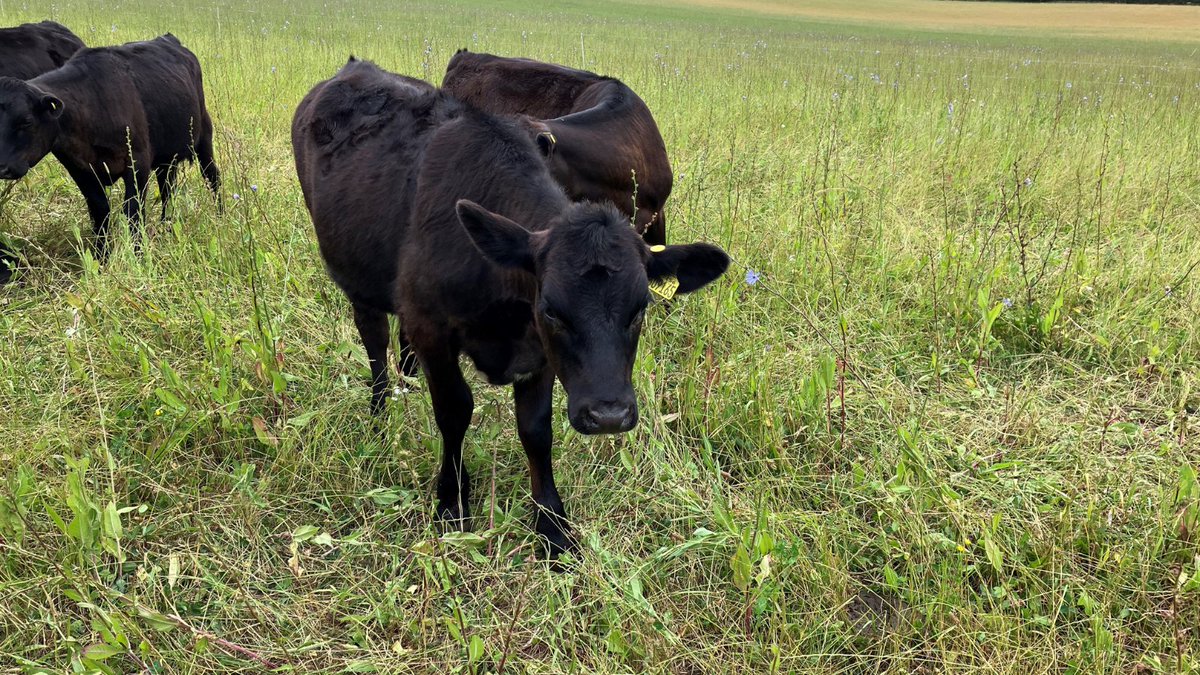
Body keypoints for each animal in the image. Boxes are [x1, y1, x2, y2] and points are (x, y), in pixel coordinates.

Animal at [0, 34, 221, 262]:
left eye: (26, 121)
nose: (3, 167)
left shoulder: (138, 163)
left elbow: (133, 212)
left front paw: (137, 255)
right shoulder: (81, 171)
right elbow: (100, 211)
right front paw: (102, 255)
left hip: (204, 139)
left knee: (212, 177)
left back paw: (220, 216)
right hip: (167, 157)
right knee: (168, 189)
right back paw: (166, 225)